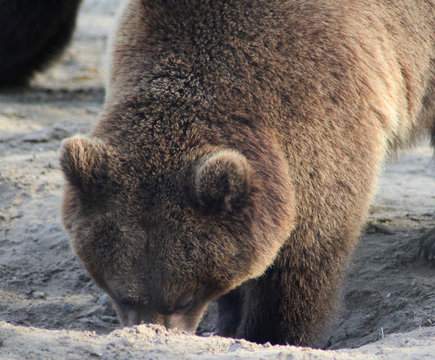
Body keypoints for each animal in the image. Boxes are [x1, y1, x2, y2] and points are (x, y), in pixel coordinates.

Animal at [59, 0, 434, 348]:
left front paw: (271, 333)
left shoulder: (326, 98)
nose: (155, 332)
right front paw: (228, 319)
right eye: (121, 294)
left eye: (185, 297)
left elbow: (302, 257)